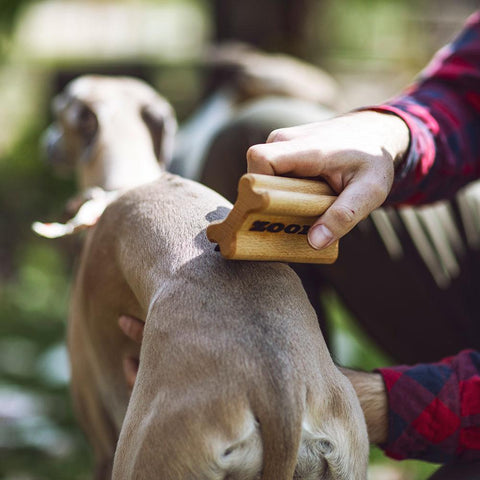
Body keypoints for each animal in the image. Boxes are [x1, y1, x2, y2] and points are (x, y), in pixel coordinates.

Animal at [47, 73, 368, 478]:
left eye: (60, 108)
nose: (47, 143)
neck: (129, 182)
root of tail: (280, 391)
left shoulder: (102, 436)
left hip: (146, 452)